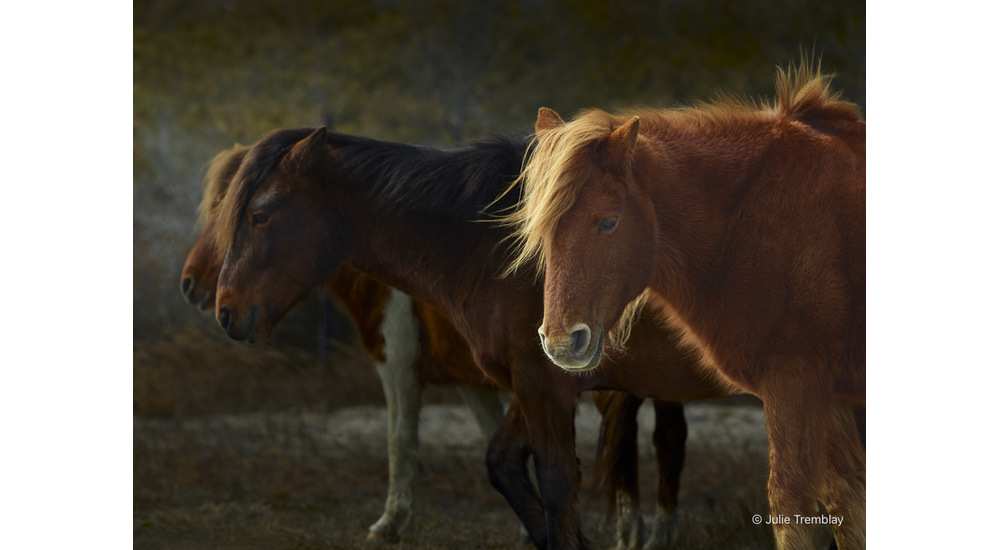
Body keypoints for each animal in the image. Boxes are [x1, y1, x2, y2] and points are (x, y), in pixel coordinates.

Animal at [212, 129, 733, 549]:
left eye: (260, 216)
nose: (225, 310)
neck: (499, 250)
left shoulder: (544, 384)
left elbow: (556, 482)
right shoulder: (529, 380)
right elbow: (502, 462)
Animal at [506, 62, 866, 549]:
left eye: (608, 222)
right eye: (542, 229)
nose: (563, 342)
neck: (750, 218)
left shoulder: (795, 383)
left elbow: (793, 507)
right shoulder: (831, 395)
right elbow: (846, 503)